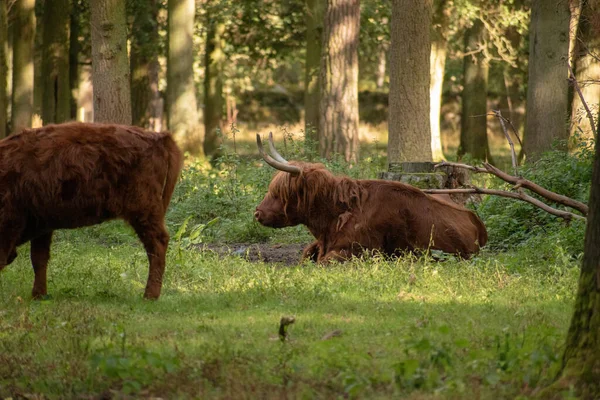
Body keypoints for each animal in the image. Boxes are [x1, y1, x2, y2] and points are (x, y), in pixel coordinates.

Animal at [0, 122, 183, 300]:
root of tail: (158, 138)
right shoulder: (42, 224)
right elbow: (39, 258)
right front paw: (39, 294)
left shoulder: (11, 222)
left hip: (143, 212)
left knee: (157, 244)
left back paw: (150, 295)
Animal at [253, 132, 488, 262]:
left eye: (279, 193)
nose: (257, 213)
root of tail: (476, 220)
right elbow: (305, 255)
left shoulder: (359, 250)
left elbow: (323, 261)